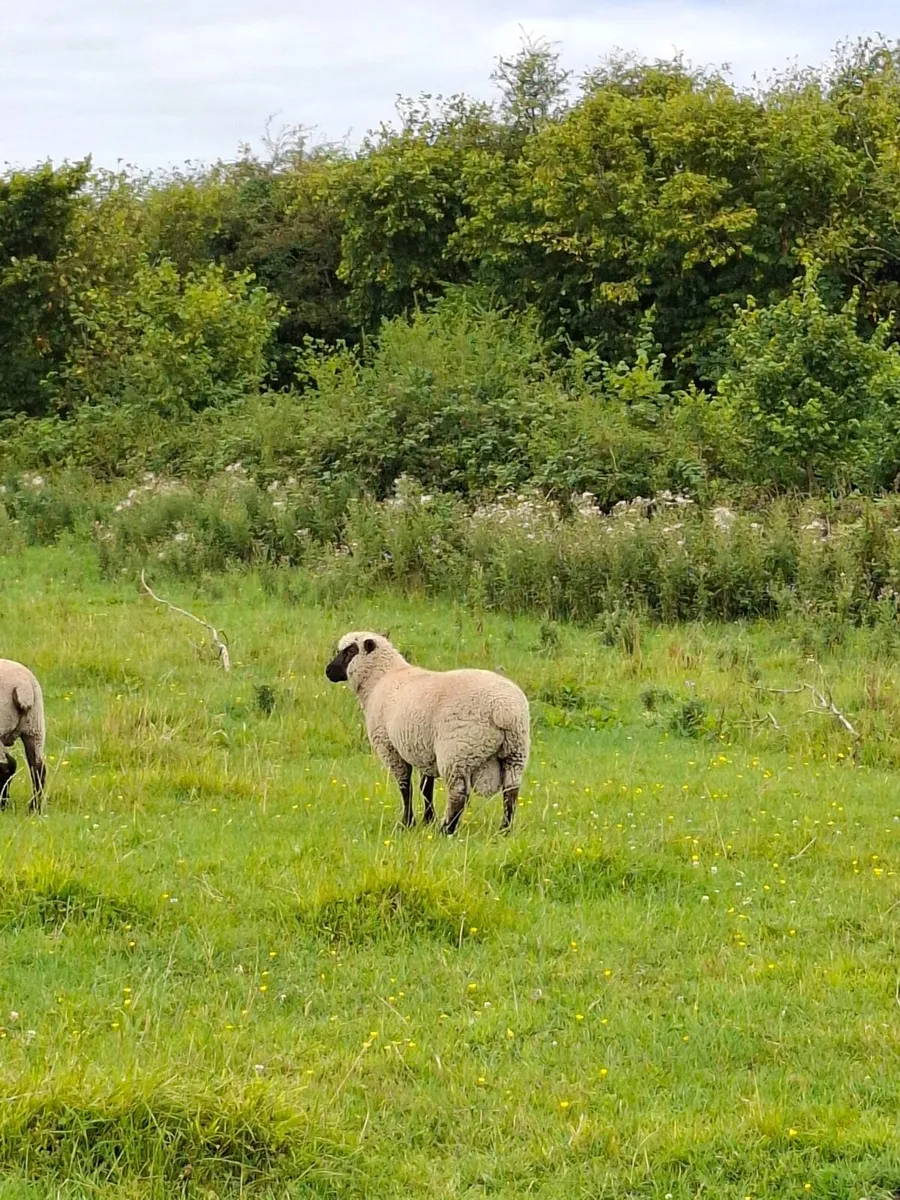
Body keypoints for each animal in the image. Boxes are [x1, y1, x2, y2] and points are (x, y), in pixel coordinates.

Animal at [325, 632, 530, 835]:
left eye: (350, 651)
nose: (328, 671)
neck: (381, 678)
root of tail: (504, 709)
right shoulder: (424, 750)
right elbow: (426, 787)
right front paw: (427, 819)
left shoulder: (389, 747)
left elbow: (405, 786)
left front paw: (407, 822)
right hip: (515, 752)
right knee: (511, 792)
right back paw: (504, 830)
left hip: (457, 751)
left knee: (458, 794)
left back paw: (446, 830)